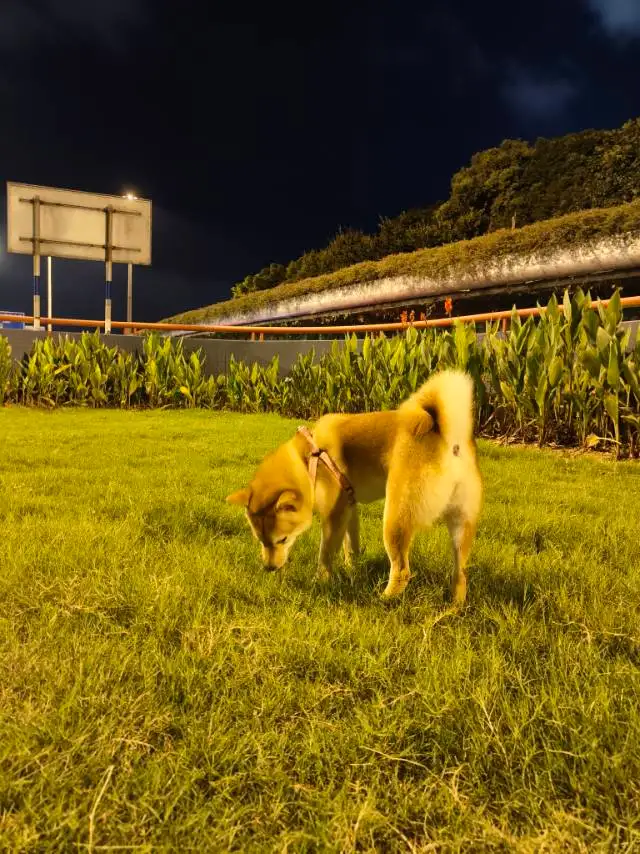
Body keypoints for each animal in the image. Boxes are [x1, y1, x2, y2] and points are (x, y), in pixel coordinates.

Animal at [225, 372, 480, 604]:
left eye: (282, 540)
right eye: (260, 540)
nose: (269, 568)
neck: (308, 460)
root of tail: (449, 438)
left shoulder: (334, 515)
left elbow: (326, 554)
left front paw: (321, 582)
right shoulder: (349, 507)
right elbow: (351, 546)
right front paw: (352, 569)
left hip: (395, 519)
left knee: (401, 570)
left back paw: (384, 599)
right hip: (461, 526)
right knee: (461, 573)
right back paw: (455, 605)